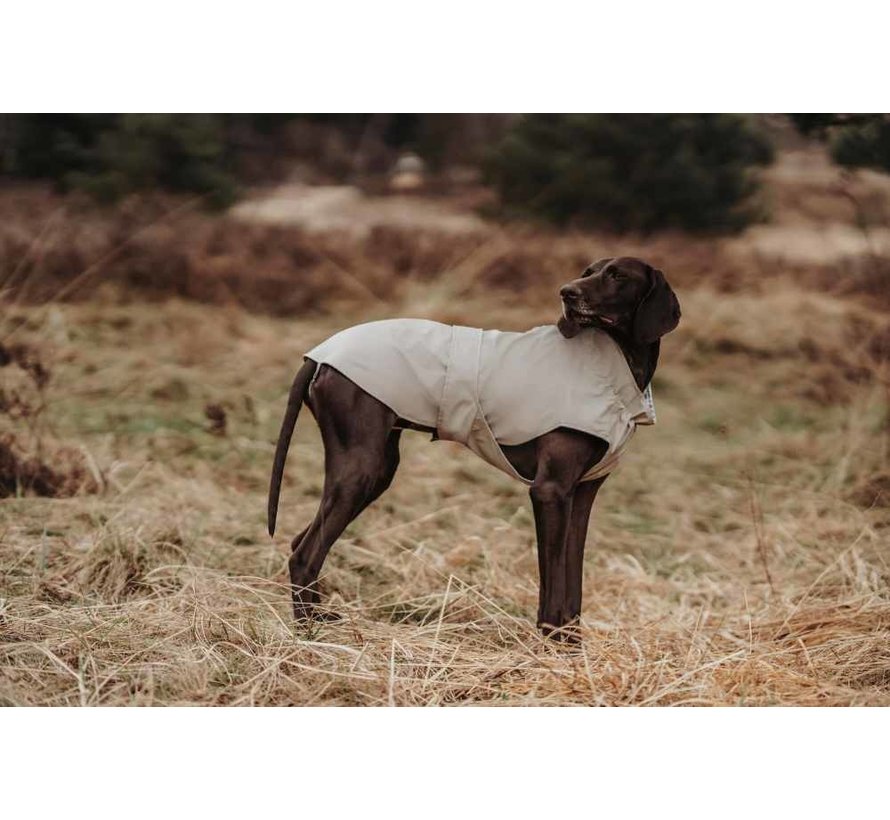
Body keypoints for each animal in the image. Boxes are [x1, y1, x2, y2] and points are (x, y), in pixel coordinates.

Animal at [268, 256, 676, 640]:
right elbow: (552, 583)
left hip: (376, 468)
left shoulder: (582, 494)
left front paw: (572, 648)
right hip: (360, 467)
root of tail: (319, 356)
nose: (566, 293)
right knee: (305, 554)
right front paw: (550, 643)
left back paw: (321, 620)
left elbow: (571, 581)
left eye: (617, 275)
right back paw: (309, 634)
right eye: (588, 272)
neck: (614, 368)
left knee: (301, 542)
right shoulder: (550, 491)